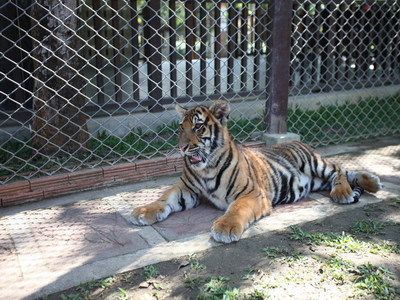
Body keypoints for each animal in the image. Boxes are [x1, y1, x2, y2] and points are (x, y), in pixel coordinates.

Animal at [130, 101, 382, 244]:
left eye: (198, 127)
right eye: (181, 128)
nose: (182, 148)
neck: (206, 169)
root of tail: (300, 142)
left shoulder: (251, 193)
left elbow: (237, 209)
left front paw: (225, 228)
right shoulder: (186, 189)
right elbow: (164, 198)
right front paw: (142, 211)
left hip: (314, 163)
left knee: (338, 169)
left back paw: (345, 193)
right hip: (317, 181)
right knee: (346, 173)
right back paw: (373, 182)